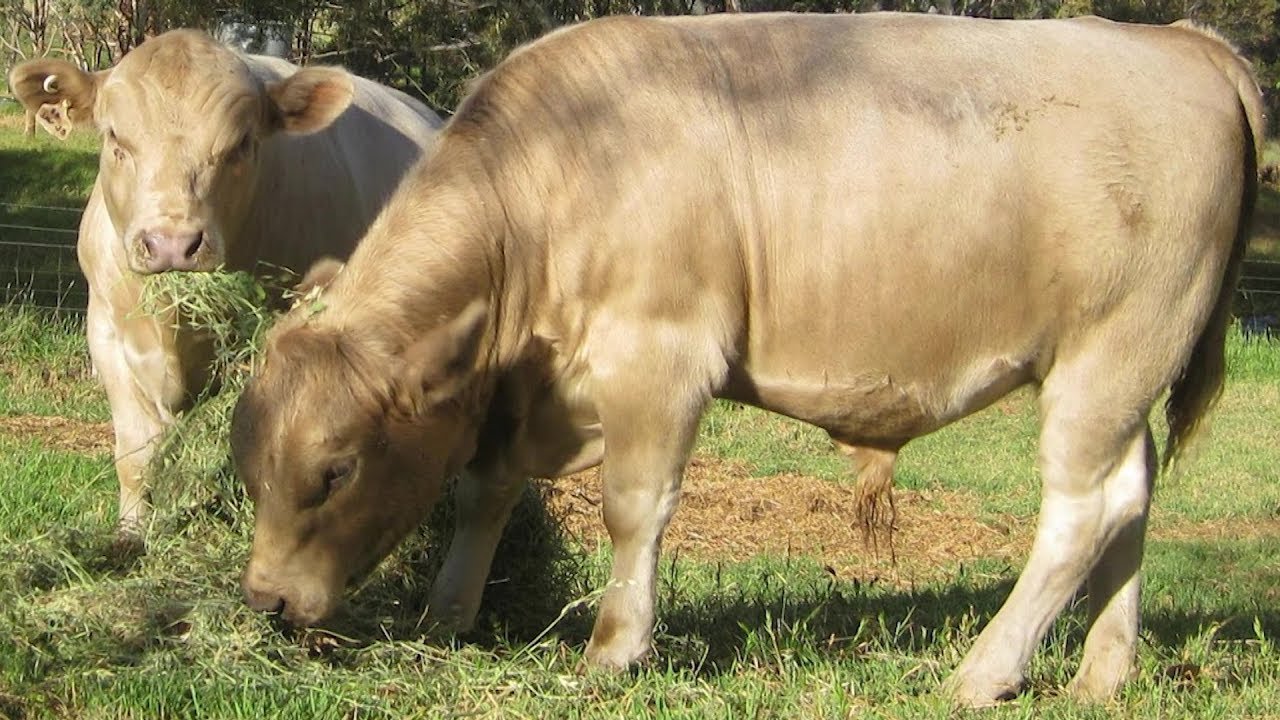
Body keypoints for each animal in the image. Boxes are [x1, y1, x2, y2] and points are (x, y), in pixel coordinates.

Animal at [7, 30, 443, 537]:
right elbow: (136, 453)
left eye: (242, 144)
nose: (172, 245)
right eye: (115, 138)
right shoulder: (107, 331)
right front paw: (131, 534)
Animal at [228, 13, 1262, 706]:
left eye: (335, 470)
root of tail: (1178, 41)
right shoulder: (521, 385)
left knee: (1082, 511)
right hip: (1120, 375)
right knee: (1131, 496)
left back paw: (983, 670)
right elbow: (483, 491)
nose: (267, 602)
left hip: (1111, 353)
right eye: (251, 470)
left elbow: (632, 508)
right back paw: (1101, 672)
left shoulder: (660, 356)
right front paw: (448, 616)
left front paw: (612, 650)